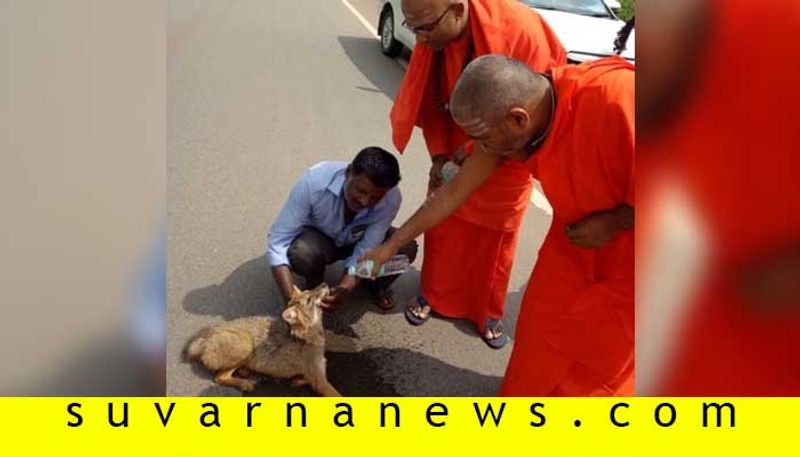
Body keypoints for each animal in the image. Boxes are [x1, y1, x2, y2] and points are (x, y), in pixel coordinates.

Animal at [186, 282, 342, 396]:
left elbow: (301, 378)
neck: (306, 336)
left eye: (310, 290)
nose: (324, 284)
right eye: (309, 299)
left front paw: (297, 380)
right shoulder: (319, 380)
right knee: (219, 377)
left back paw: (244, 371)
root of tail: (205, 338)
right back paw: (245, 383)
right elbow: (338, 395)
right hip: (247, 347)